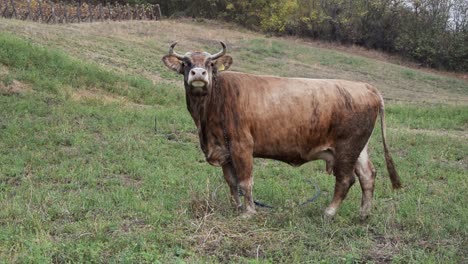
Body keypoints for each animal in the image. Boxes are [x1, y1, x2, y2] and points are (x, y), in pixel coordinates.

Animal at [163, 41, 400, 219]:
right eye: (186, 62)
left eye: (210, 63)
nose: (199, 73)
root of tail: (366, 87)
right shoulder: (224, 150)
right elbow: (231, 182)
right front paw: (235, 207)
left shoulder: (241, 146)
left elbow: (245, 181)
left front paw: (248, 212)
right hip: (359, 149)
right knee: (368, 175)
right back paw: (364, 214)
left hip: (347, 148)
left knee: (345, 180)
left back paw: (329, 212)